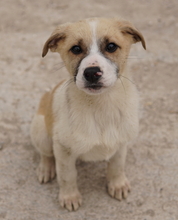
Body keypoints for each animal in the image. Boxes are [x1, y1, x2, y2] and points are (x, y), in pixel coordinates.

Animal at [29, 17, 145, 211]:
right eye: (76, 49)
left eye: (111, 46)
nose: (91, 73)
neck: (100, 106)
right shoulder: (63, 149)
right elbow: (67, 175)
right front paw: (69, 196)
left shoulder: (121, 142)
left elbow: (117, 166)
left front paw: (117, 184)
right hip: (41, 132)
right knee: (45, 154)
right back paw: (46, 169)